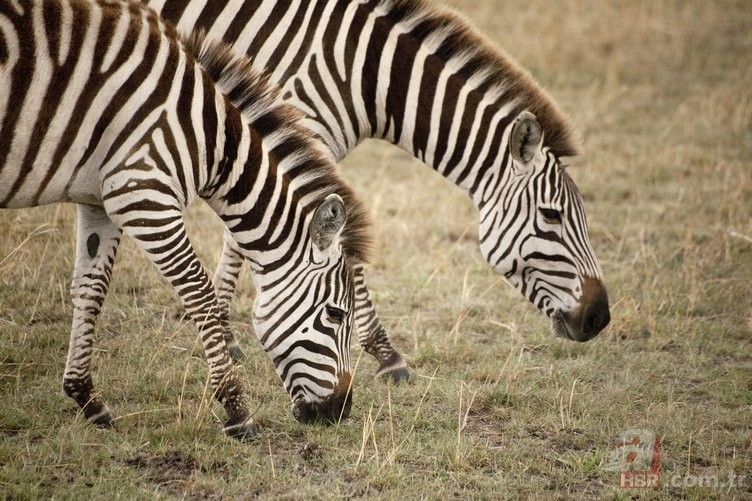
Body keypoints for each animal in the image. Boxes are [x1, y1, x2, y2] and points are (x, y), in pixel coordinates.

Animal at [1, 0, 372, 438]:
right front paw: (236, 410)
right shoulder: (142, 195)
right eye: (336, 314)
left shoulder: (100, 201)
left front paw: (86, 398)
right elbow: (201, 295)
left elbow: (90, 290)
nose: (340, 411)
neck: (208, 137)